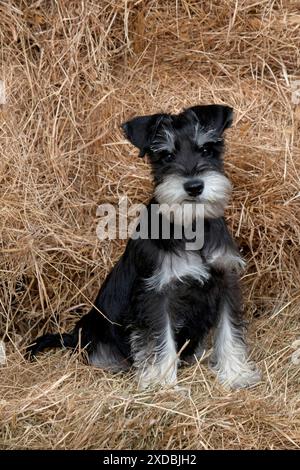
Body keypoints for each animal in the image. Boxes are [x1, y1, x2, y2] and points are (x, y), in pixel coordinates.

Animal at [29, 105, 262, 390]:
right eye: (166, 155)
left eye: (206, 149)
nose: (194, 186)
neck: (191, 227)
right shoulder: (156, 294)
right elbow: (161, 340)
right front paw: (163, 383)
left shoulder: (226, 282)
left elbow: (230, 332)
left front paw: (236, 374)